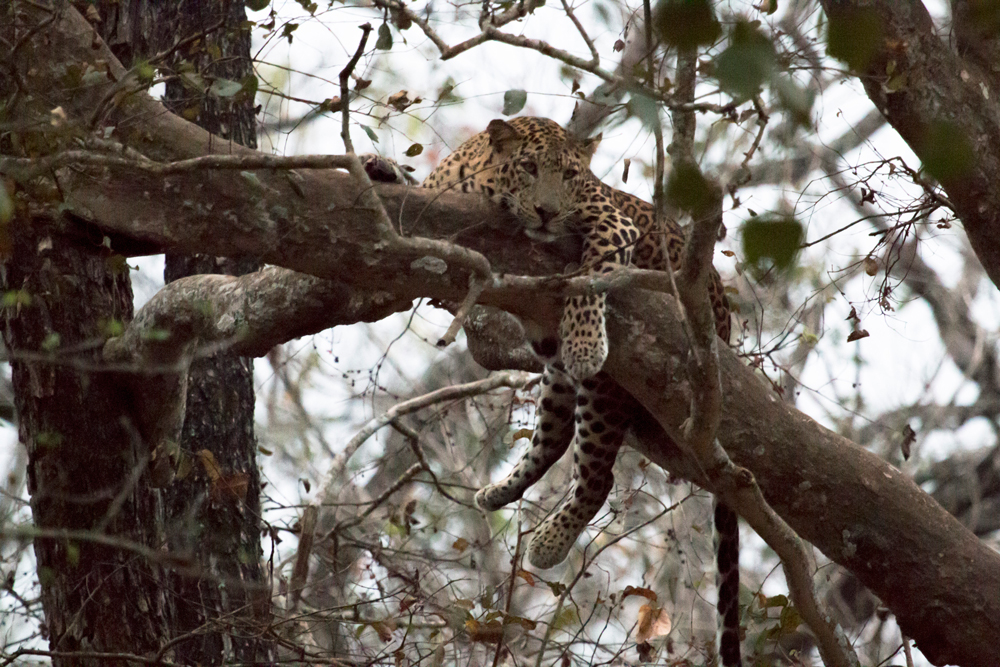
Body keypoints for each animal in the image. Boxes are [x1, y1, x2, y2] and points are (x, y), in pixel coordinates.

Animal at [364, 117, 740, 664]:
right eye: (528, 167)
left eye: (570, 176)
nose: (546, 211)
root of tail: (724, 321)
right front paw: (381, 168)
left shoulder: (610, 221)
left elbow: (589, 276)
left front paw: (585, 338)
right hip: (557, 383)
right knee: (554, 438)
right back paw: (499, 492)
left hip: (608, 387)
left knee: (598, 476)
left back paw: (548, 542)